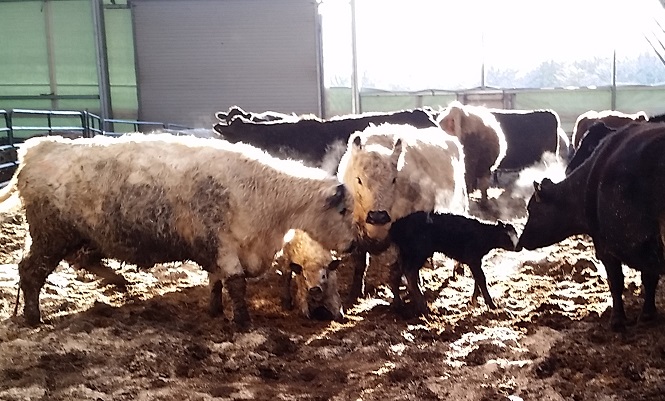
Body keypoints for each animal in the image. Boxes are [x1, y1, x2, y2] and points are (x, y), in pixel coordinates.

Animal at [0, 134, 355, 328]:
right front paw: (242, 323)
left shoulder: (217, 247)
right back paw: (33, 316)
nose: (353, 245)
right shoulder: (225, 247)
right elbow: (236, 285)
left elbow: (216, 282)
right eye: (343, 210)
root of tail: (39, 147)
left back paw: (119, 282)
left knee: (77, 261)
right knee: (30, 271)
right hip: (49, 235)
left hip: (77, 236)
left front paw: (215, 310)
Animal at [389, 211, 518, 315]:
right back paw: (423, 306)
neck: (484, 235)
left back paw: (398, 304)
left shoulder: (476, 260)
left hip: (406, 253)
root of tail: (397, 225)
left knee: (396, 272)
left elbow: (477, 278)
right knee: (409, 273)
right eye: (506, 236)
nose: (518, 247)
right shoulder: (473, 258)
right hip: (418, 252)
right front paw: (490, 304)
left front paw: (474, 300)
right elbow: (481, 278)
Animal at [516, 121, 665, 331]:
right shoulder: (647, 248)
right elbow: (649, 279)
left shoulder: (607, 248)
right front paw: (647, 315)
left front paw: (618, 320)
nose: (521, 241)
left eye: (533, 209)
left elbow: (616, 282)